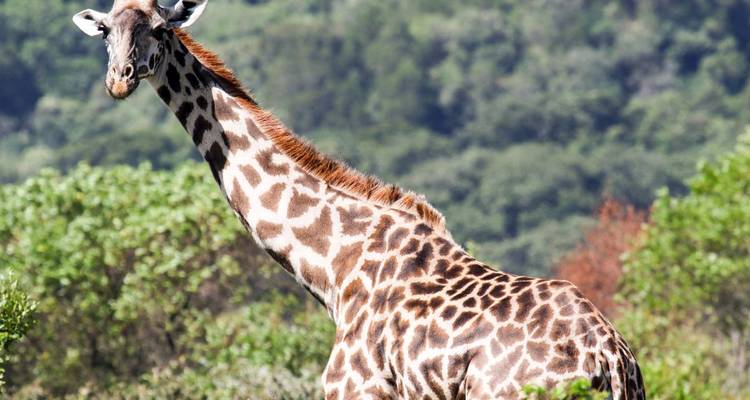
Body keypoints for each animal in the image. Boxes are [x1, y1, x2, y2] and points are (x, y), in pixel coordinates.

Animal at [72, 1, 646, 398]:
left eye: (160, 29)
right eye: (107, 31)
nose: (120, 79)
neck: (334, 265)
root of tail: (611, 363)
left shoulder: (355, 388)